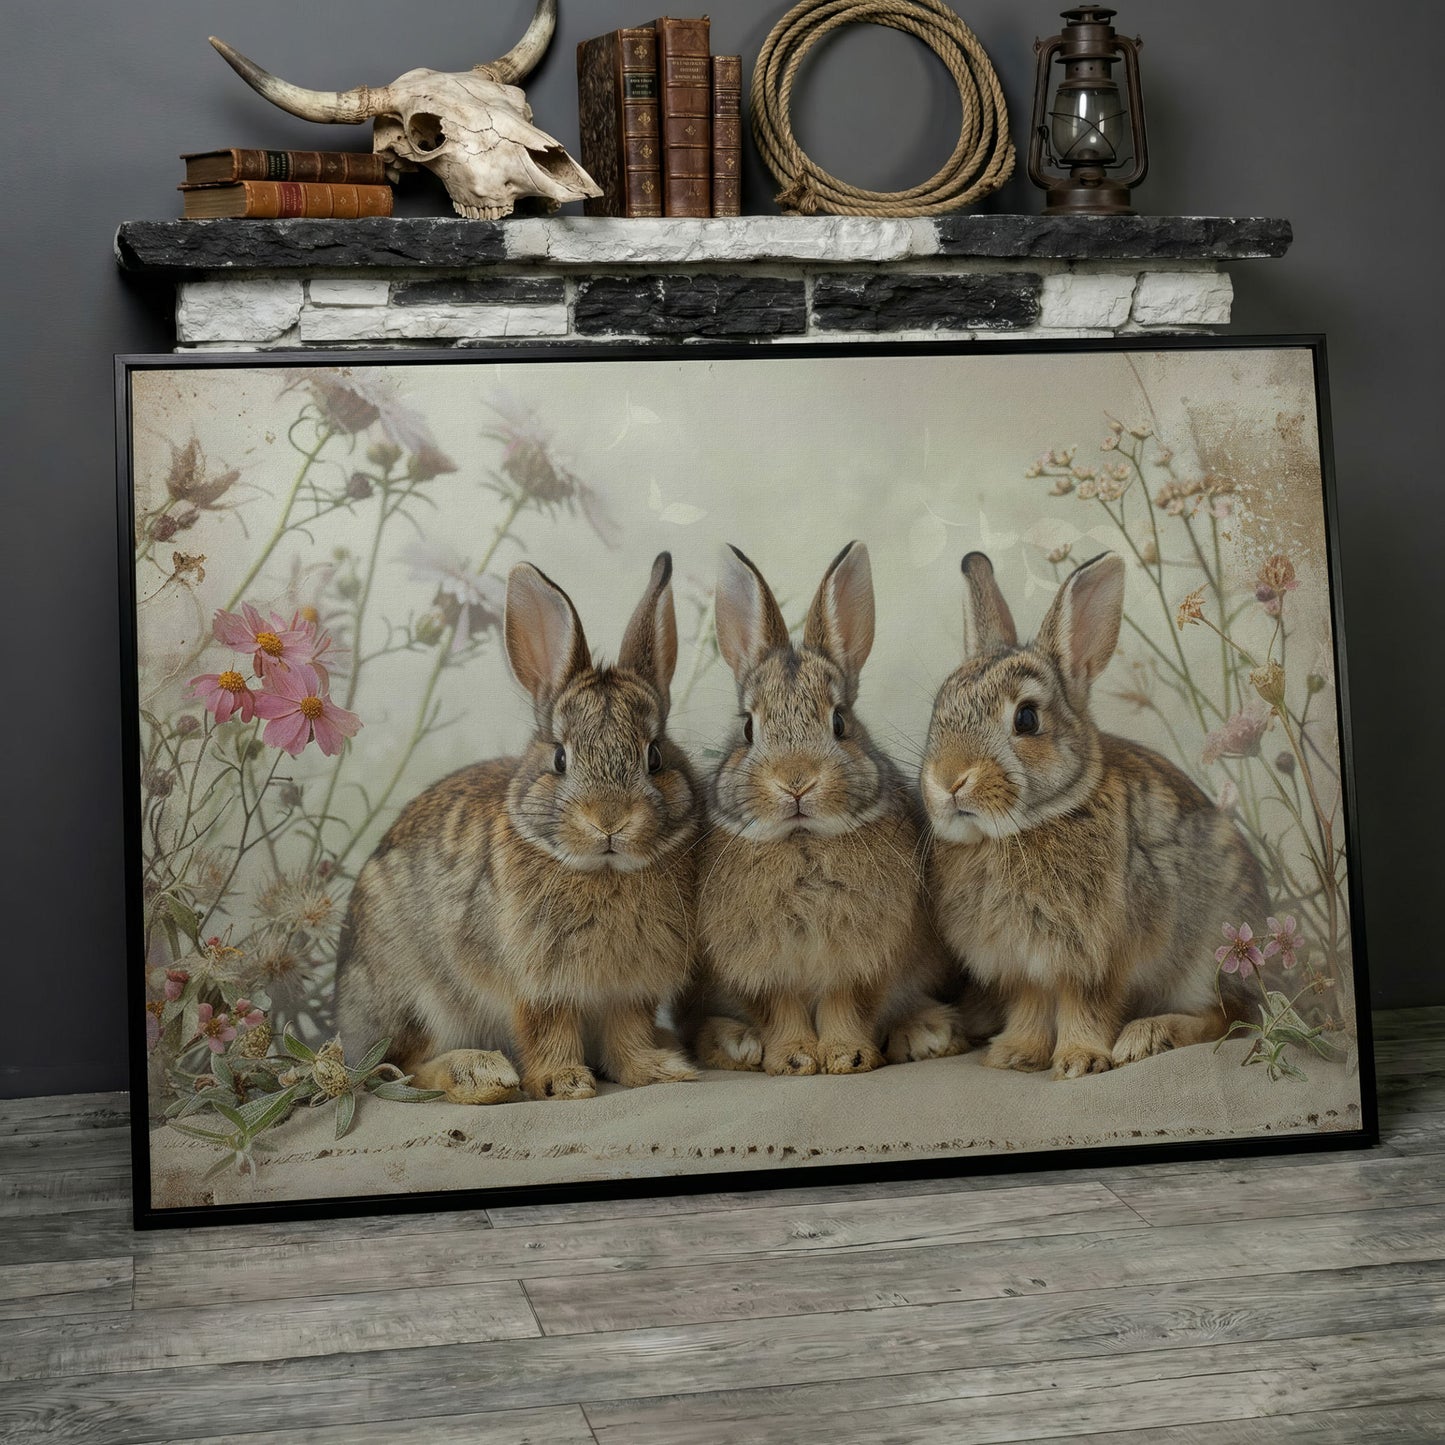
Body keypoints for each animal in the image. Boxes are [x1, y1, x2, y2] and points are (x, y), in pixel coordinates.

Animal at [335, 552, 701, 1104]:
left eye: (655, 756)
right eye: (560, 758)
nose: (609, 820)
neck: (603, 872)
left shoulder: (629, 989)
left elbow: (629, 1033)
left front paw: (657, 1071)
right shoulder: (537, 984)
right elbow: (547, 1029)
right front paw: (564, 1081)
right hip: (415, 999)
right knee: (397, 1067)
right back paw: (479, 1074)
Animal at [682, 541, 968, 1078]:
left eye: (839, 722)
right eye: (748, 728)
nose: (796, 782)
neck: (804, 841)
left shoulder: (863, 958)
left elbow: (845, 1004)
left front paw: (845, 1056)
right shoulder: (763, 967)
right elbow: (782, 1009)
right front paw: (793, 1058)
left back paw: (924, 1034)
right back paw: (736, 1044)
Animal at [920, 550, 1266, 1081]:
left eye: (1026, 719)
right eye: (939, 708)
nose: (949, 779)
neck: (1023, 829)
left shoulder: (1097, 959)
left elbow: (1087, 1006)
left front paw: (1079, 1061)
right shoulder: (1023, 965)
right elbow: (1030, 1006)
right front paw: (1015, 1055)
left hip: (1212, 953)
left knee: (1227, 1016)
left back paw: (1148, 1037)